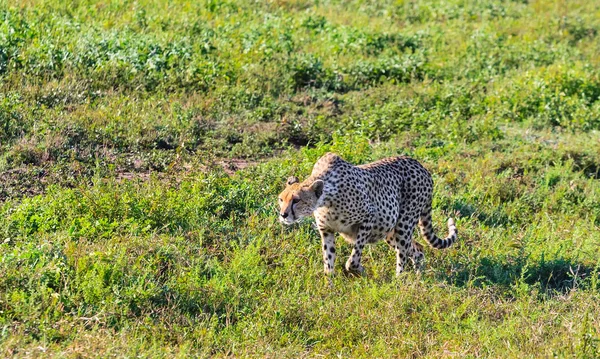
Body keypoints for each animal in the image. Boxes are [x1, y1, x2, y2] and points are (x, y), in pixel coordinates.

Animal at [278, 153, 458, 278]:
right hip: (390, 232)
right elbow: (328, 260)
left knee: (403, 253)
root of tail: (421, 165)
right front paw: (328, 288)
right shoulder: (327, 231)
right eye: (281, 199)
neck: (325, 200)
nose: (283, 215)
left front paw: (359, 271)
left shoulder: (368, 218)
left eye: (296, 200)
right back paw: (418, 278)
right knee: (417, 249)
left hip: (403, 224)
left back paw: (399, 281)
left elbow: (353, 258)